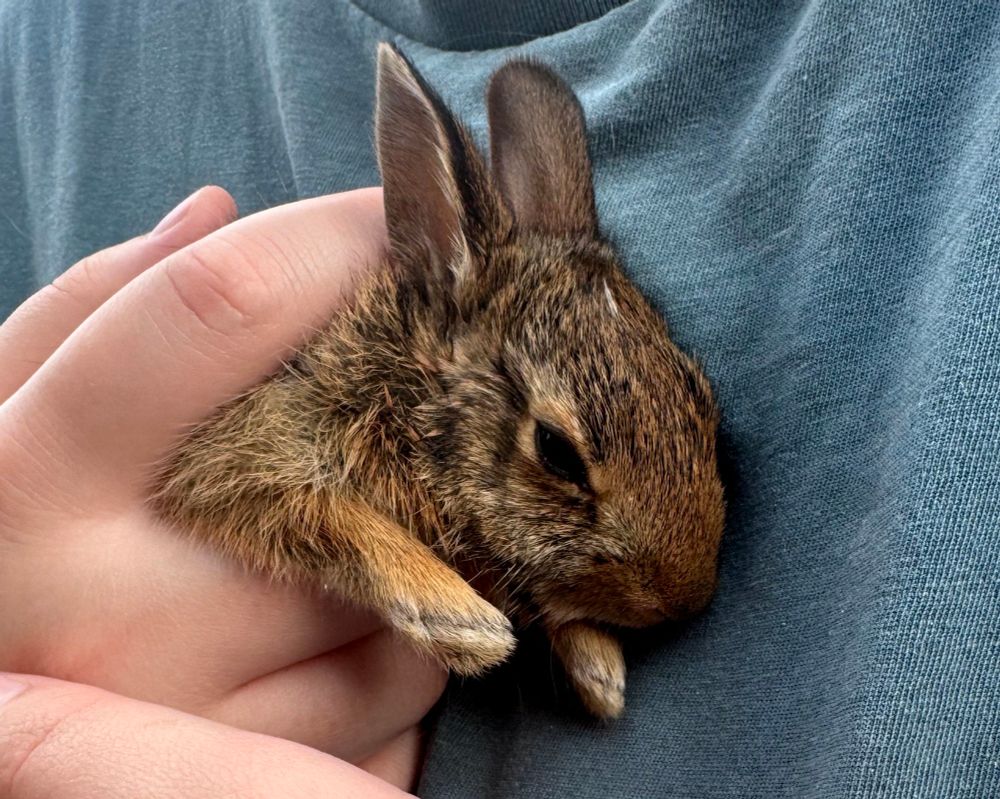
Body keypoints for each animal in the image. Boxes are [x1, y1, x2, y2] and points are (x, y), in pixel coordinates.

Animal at [152, 43, 725, 720]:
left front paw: (595, 667)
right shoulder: (242, 447)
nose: (686, 598)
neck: (407, 383)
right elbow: (316, 510)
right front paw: (458, 619)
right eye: (556, 450)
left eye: (701, 400)